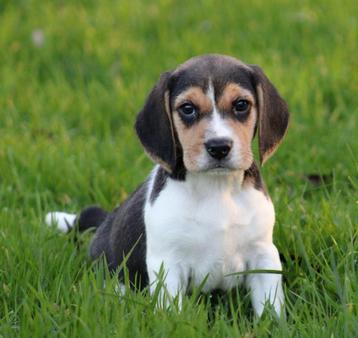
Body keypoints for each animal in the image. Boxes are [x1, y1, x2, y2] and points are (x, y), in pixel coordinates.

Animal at [46, 54, 290, 316]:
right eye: (188, 109)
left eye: (241, 105)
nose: (219, 147)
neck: (216, 187)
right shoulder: (168, 263)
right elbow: (173, 310)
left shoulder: (263, 254)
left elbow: (270, 307)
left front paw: (273, 323)